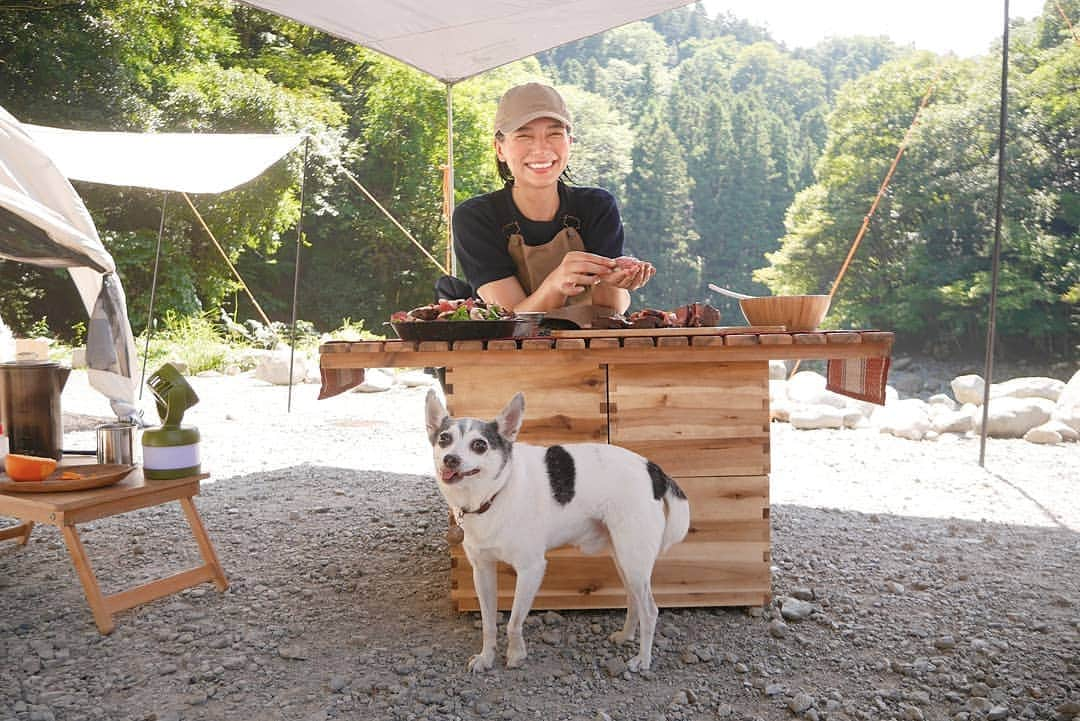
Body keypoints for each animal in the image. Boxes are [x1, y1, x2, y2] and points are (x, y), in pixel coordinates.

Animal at [423, 390, 691, 673]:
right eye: (444, 439)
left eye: (479, 445)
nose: (450, 459)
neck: (493, 495)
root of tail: (653, 469)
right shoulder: (482, 571)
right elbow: (488, 623)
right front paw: (486, 657)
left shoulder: (531, 569)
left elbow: (513, 622)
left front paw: (516, 655)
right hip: (625, 561)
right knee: (634, 601)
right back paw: (625, 636)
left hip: (633, 561)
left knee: (650, 610)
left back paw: (643, 659)